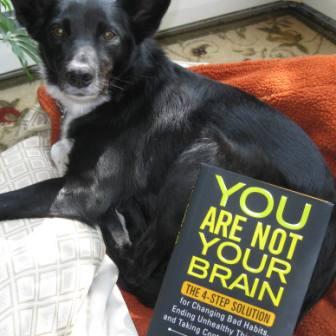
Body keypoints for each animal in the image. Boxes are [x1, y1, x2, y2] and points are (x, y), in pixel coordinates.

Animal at [1, 0, 334, 312]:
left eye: (110, 35)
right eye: (57, 31)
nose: (79, 76)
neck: (120, 89)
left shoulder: (87, 192)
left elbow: (16, 195)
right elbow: (58, 148)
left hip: (204, 157)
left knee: (135, 268)